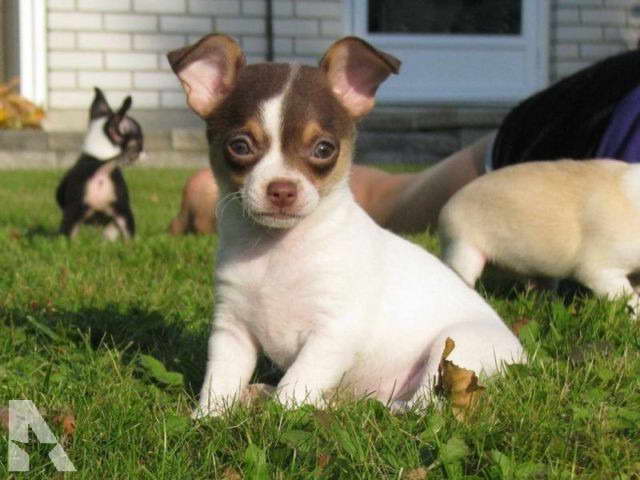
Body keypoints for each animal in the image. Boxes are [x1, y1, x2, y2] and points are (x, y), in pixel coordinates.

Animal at [55, 87, 144, 239]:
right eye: (139, 144)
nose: (144, 152)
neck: (100, 158)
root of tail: (102, 172)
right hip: (123, 211)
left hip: (74, 211)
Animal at [168, 34, 524, 416]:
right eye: (239, 146)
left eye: (324, 149)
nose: (282, 189)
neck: (275, 250)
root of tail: (521, 352)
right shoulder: (231, 330)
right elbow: (219, 381)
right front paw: (208, 418)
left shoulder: (333, 333)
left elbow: (295, 387)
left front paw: (278, 416)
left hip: (451, 347)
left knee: (420, 403)